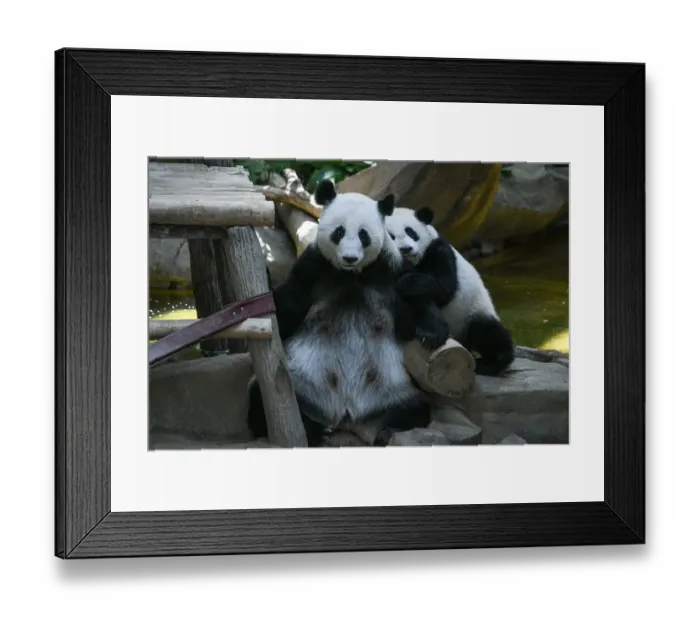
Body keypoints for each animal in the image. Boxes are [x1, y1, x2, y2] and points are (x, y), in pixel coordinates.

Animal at [247, 180, 449, 447]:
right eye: (339, 232)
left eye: (363, 234)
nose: (349, 257)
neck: (352, 275)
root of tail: (346, 417)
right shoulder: (314, 268)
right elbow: (288, 306)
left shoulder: (389, 269)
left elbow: (414, 304)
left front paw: (432, 333)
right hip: (302, 382)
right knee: (261, 397)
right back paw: (315, 430)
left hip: (394, 389)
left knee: (415, 410)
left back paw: (387, 431)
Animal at [385, 206, 515, 377]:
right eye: (391, 236)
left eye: (411, 232)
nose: (406, 249)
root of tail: (462, 340)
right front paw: (431, 334)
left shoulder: (438, 251)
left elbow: (443, 288)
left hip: (472, 311)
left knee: (488, 332)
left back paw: (491, 363)